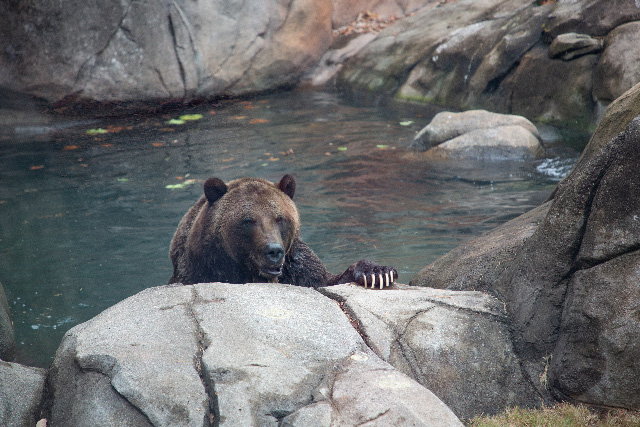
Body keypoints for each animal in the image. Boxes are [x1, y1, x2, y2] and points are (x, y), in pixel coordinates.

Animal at [169, 174, 397, 288]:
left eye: (280, 218)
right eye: (248, 220)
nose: (274, 251)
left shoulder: (297, 266)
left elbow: (327, 279)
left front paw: (378, 273)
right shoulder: (201, 268)